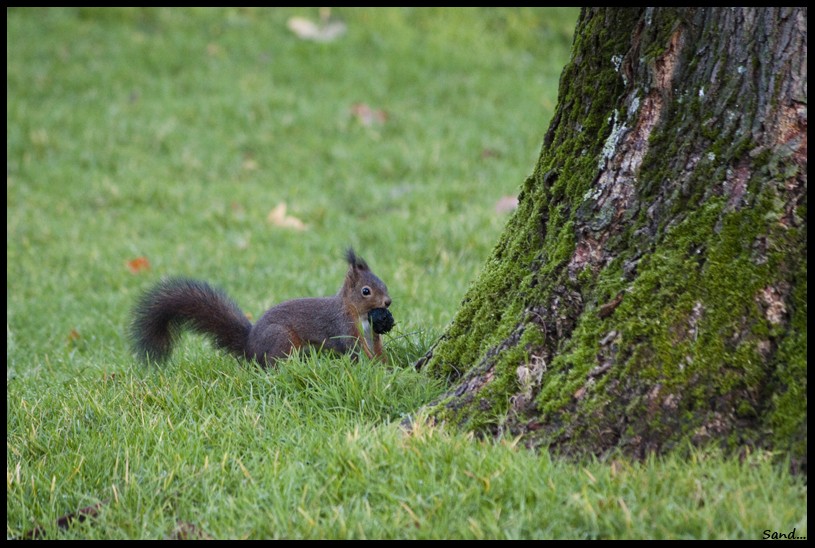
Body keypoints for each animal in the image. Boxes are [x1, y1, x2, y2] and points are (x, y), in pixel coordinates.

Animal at [130, 250, 392, 366]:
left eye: (383, 282)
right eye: (366, 291)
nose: (388, 302)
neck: (358, 313)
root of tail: (250, 346)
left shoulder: (369, 331)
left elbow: (375, 348)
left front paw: (384, 363)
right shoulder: (342, 326)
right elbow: (354, 347)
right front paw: (375, 366)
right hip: (281, 339)